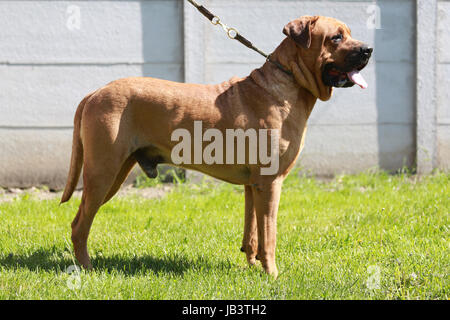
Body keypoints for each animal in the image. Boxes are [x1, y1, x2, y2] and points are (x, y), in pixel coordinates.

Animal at [62, 16, 372, 278]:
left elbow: (253, 232)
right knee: (79, 225)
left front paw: (253, 265)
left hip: (114, 174)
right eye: (336, 37)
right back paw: (87, 269)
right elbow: (269, 234)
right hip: (103, 172)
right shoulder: (270, 183)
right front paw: (272, 274)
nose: (369, 49)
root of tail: (96, 92)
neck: (289, 81)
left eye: (349, 34)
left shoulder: (254, 185)